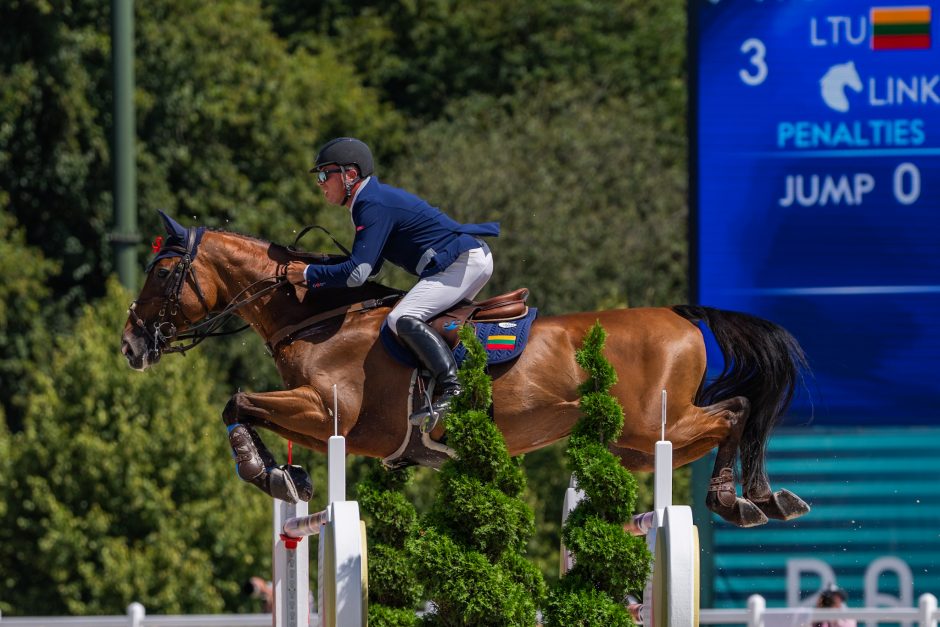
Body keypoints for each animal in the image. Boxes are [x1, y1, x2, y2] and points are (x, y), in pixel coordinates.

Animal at [123, 216, 816, 528]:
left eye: (164, 271)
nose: (131, 343)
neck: (318, 319)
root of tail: (680, 314)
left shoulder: (330, 415)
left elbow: (239, 400)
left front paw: (266, 473)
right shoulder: (329, 425)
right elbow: (242, 406)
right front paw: (283, 475)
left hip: (654, 427)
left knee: (736, 413)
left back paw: (741, 498)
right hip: (640, 446)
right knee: (731, 420)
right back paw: (758, 497)